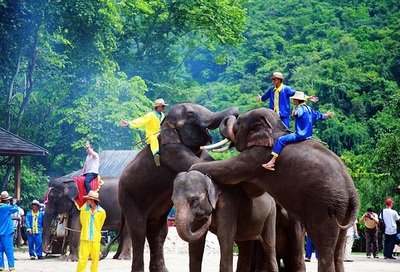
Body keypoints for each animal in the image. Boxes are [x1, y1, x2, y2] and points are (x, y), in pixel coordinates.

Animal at [117, 102, 239, 272]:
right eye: (190, 115)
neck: (166, 124)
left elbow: (205, 162)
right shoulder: (171, 151)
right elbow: (195, 164)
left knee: (158, 232)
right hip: (127, 197)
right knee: (139, 231)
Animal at [191, 107, 360, 270]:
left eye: (238, 124)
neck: (276, 127)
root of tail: (353, 194)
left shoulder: (257, 156)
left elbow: (228, 171)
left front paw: (193, 168)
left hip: (323, 207)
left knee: (324, 247)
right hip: (342, 210)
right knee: (338, 250)